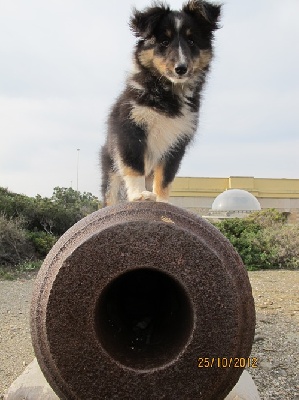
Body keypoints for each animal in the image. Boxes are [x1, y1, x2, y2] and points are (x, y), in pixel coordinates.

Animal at [102, 0, 221, 206]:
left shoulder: (177, 142)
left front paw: (163, 201)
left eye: (191, 41)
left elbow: (165, 177)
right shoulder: (130, 129)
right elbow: (134, 166)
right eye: (164, 42)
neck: (167, 93)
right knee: (112, 194)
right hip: (111, 169)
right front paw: (139, 195)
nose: (181, 69)